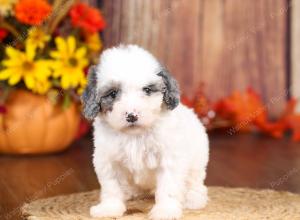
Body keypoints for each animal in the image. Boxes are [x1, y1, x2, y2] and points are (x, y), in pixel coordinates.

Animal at [81, 44, 209, 220]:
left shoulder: (169, 159)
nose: (132, 115)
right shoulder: (108, 160)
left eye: (147, 90)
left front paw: (165, 211)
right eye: (113, 93)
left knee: (195, 182)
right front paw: (109, 208)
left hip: (197, 162)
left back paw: (193, 198)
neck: (135, 135)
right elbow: (112, 186)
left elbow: (168, 187)